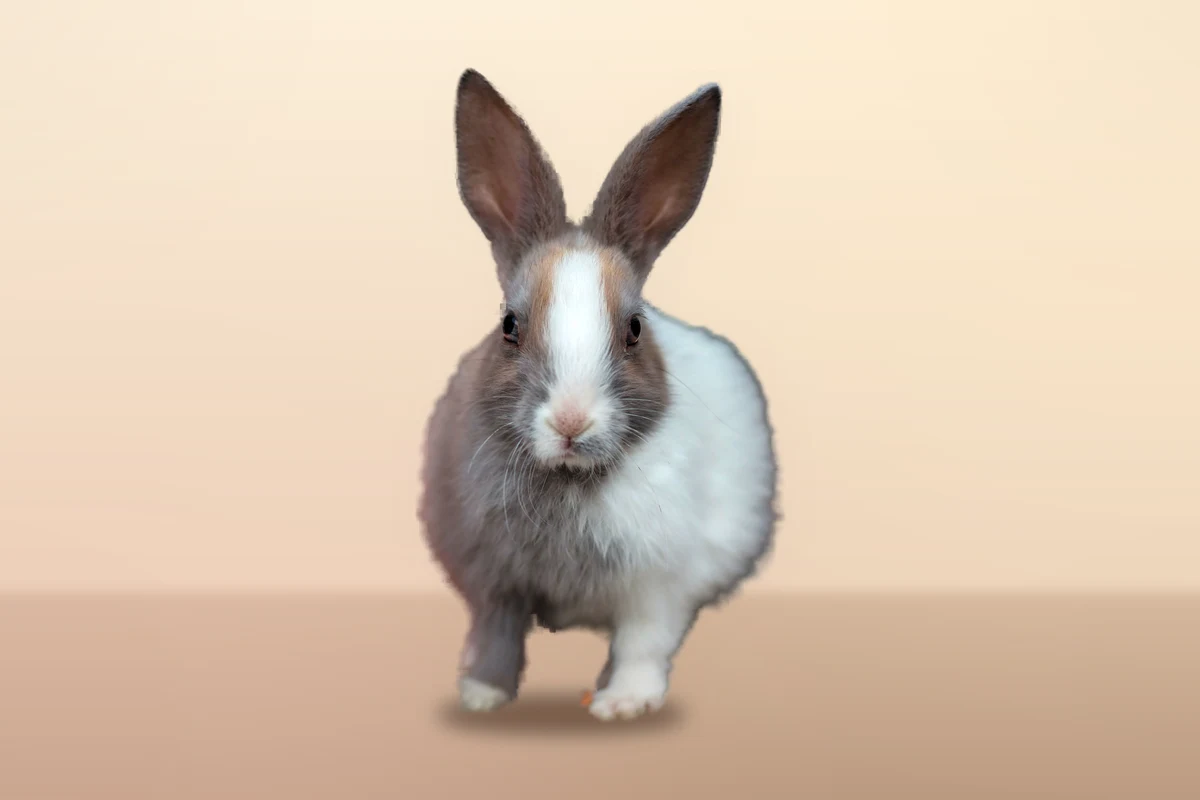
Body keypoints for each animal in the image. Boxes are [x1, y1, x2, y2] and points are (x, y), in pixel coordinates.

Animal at [419, 69, 778, 722]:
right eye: (509, 325)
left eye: (634, 328)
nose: (571, 421)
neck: (566, 480)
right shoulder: (495, 584)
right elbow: (496, 636)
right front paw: (482, 695)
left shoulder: (658, 584)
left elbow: (643, 641)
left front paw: (623, 705)